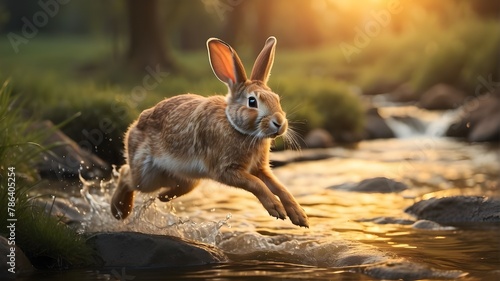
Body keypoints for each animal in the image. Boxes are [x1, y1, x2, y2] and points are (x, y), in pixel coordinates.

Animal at [110, 36, 308, 226]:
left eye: (277, 99)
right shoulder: (226, 170)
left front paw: (300, 216)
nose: (279, 123)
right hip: (147, 175)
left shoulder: (259, 168)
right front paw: (276, 209)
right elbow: (257, 184)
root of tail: (134, 127)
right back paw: (119, 211)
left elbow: (279, 186)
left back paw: (163, 197)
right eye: (252, 102)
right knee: (126, 174)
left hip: (184, 176)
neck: (236, 127)